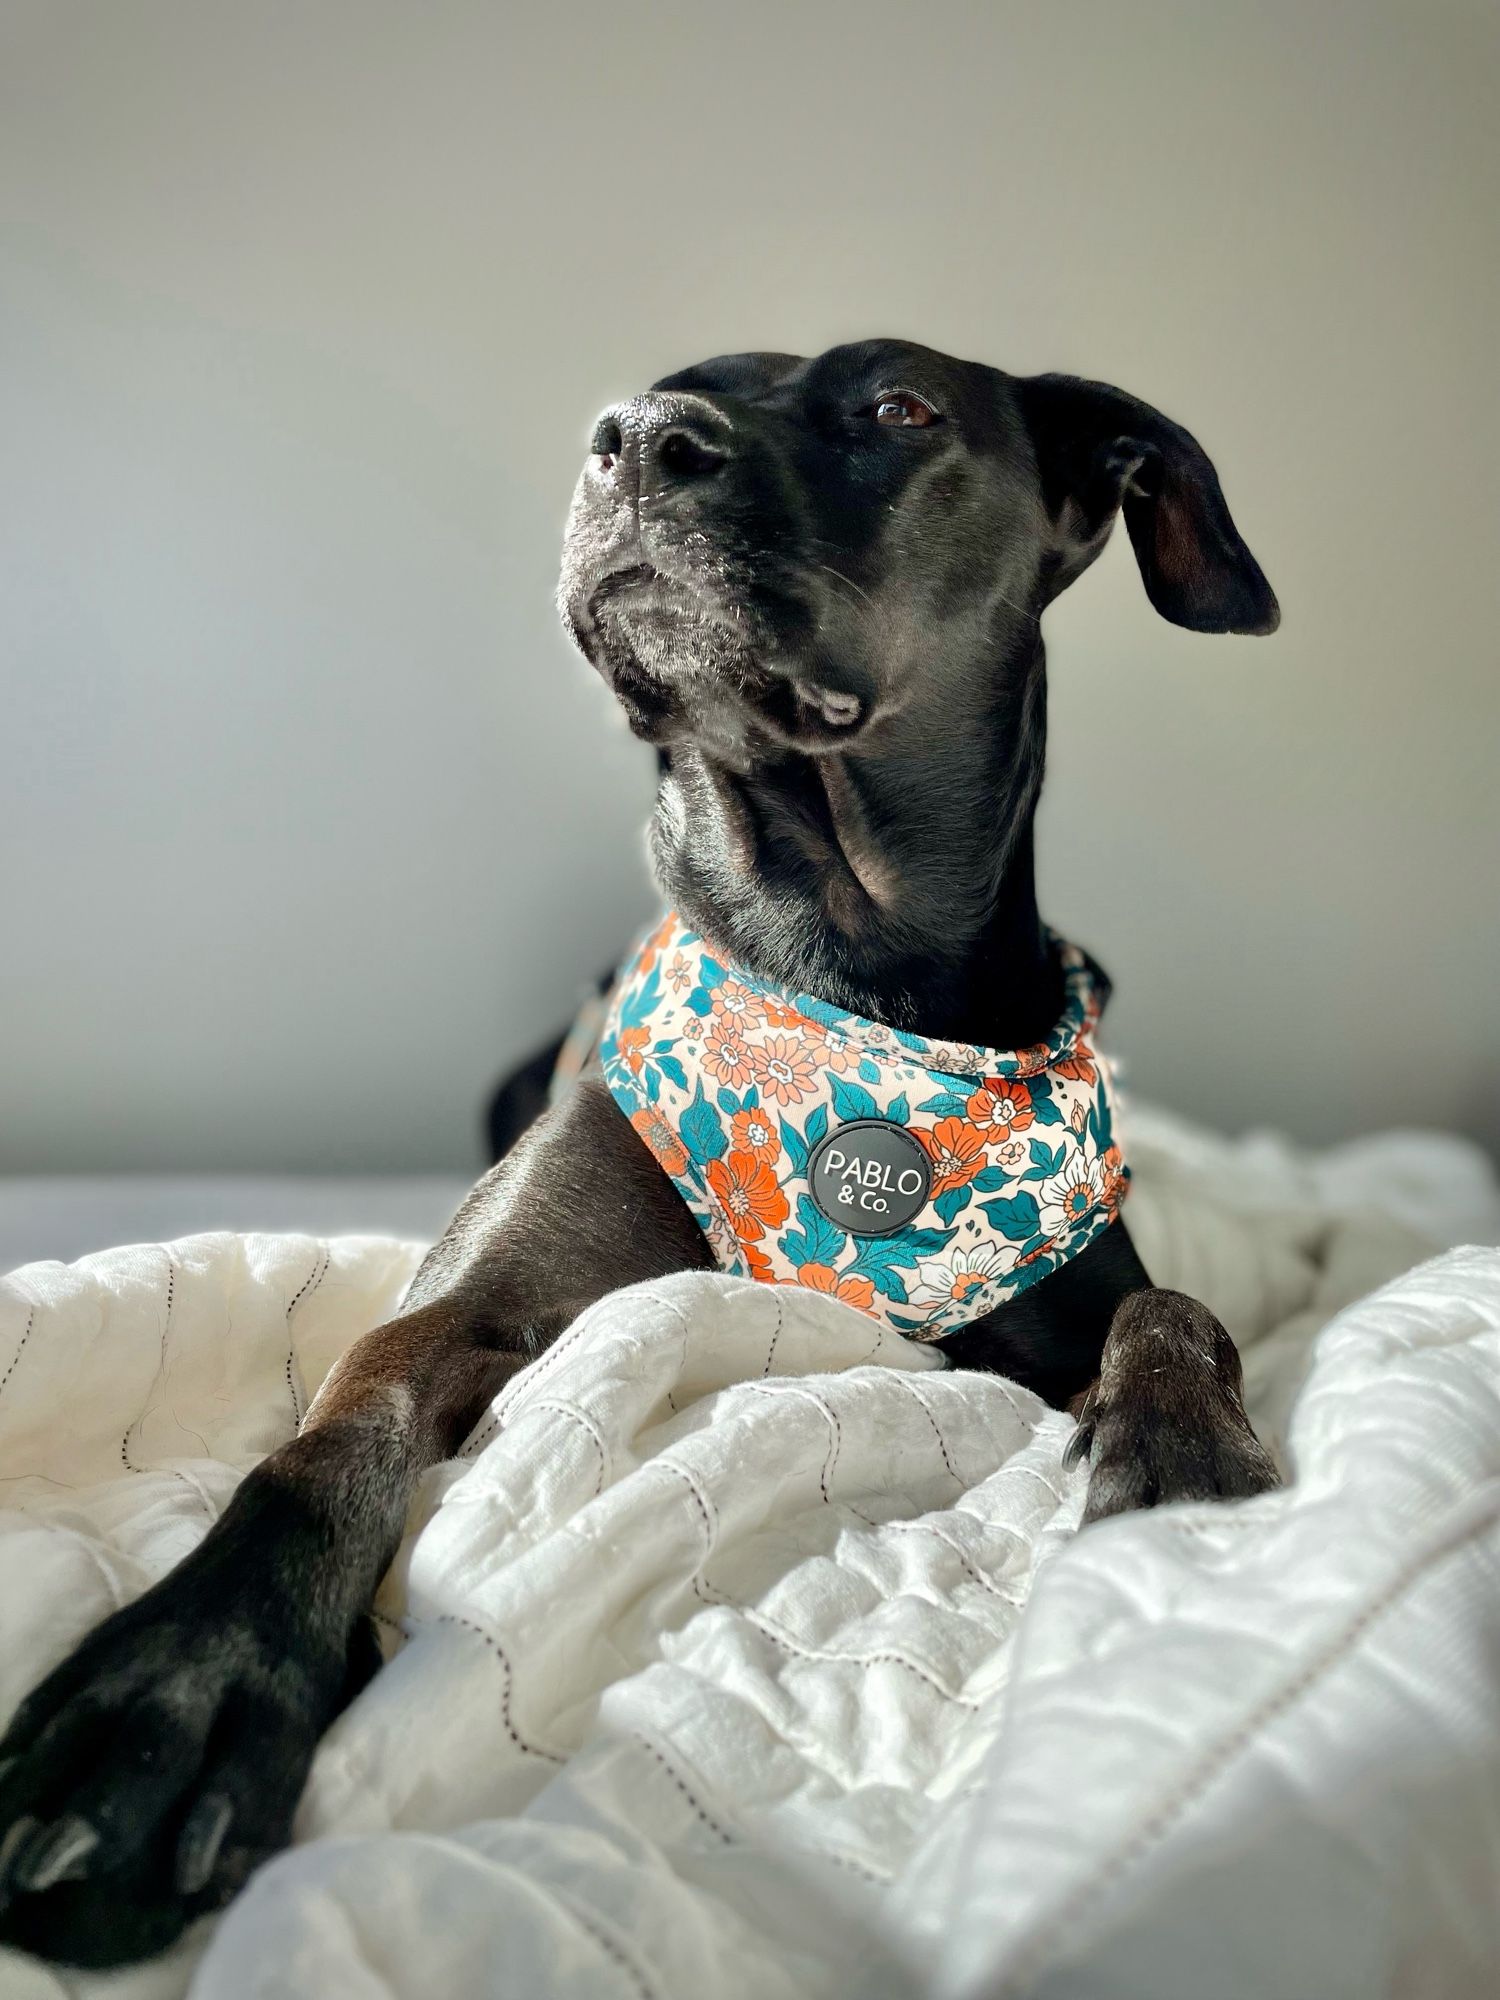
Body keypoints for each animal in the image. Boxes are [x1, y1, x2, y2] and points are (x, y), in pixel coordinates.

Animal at [2, 344, 1280, 1968]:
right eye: (674, 389)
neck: (836, 965)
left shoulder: (1055, 1295)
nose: (634, 440)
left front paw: (1181, 1452)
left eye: (900, 408)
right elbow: (329, 1435)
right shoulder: (470, 1296)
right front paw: (182, 1685)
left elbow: (1177, 1310)